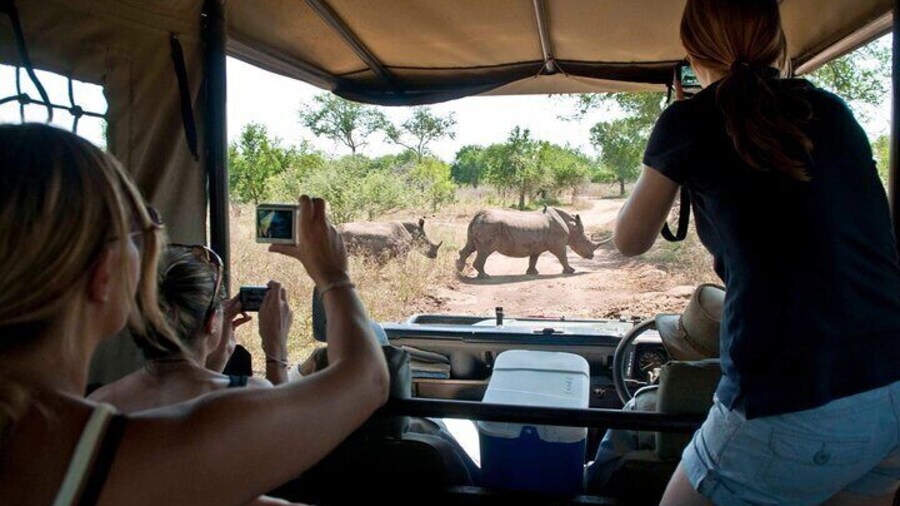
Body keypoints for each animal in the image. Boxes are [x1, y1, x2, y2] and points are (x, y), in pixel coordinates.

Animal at [456, 207, 602, 277]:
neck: (572, 226)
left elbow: (534, 258)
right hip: (489, 226)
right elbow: (563, 257)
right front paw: (571, 271)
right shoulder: (559, 244)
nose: (592, 256)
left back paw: (459, 269)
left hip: (481, 225)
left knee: (470, 246)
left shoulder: (536, 245)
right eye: (586, 241)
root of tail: (477, 216)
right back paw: (485, 276)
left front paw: (533, 273)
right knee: (484, 252)